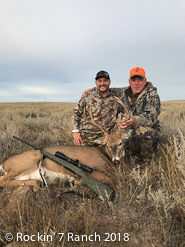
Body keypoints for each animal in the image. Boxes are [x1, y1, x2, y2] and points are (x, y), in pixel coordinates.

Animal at [0, 97, 132, 192]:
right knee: (2, 180)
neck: (106, 156)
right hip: (32, 158)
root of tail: (3, 163)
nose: (116, 160)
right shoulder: (94, 171)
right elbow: (111, 178)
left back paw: (36, 185)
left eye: (120, 143)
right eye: (108, 145)